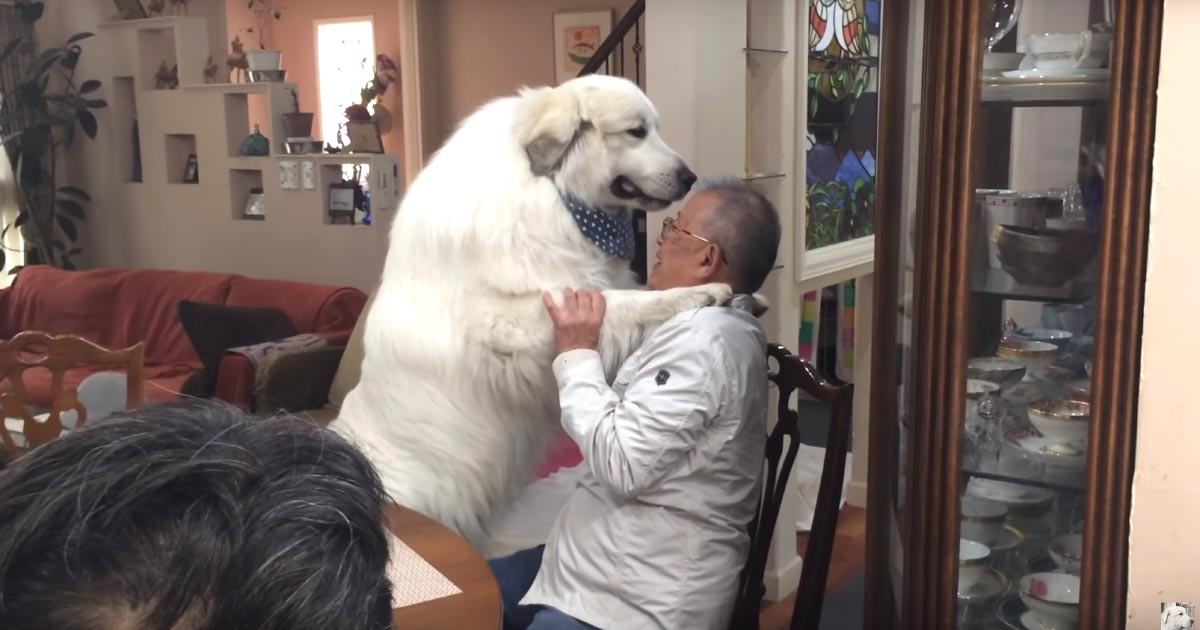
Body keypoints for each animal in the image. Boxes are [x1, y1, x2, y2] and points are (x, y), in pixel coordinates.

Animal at [333, 75, 734, 544]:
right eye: (636, 132)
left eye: (655, 129)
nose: (690, 178)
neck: (554, 193)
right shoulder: (513, 325)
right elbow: (620, 302)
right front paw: (703, 293)